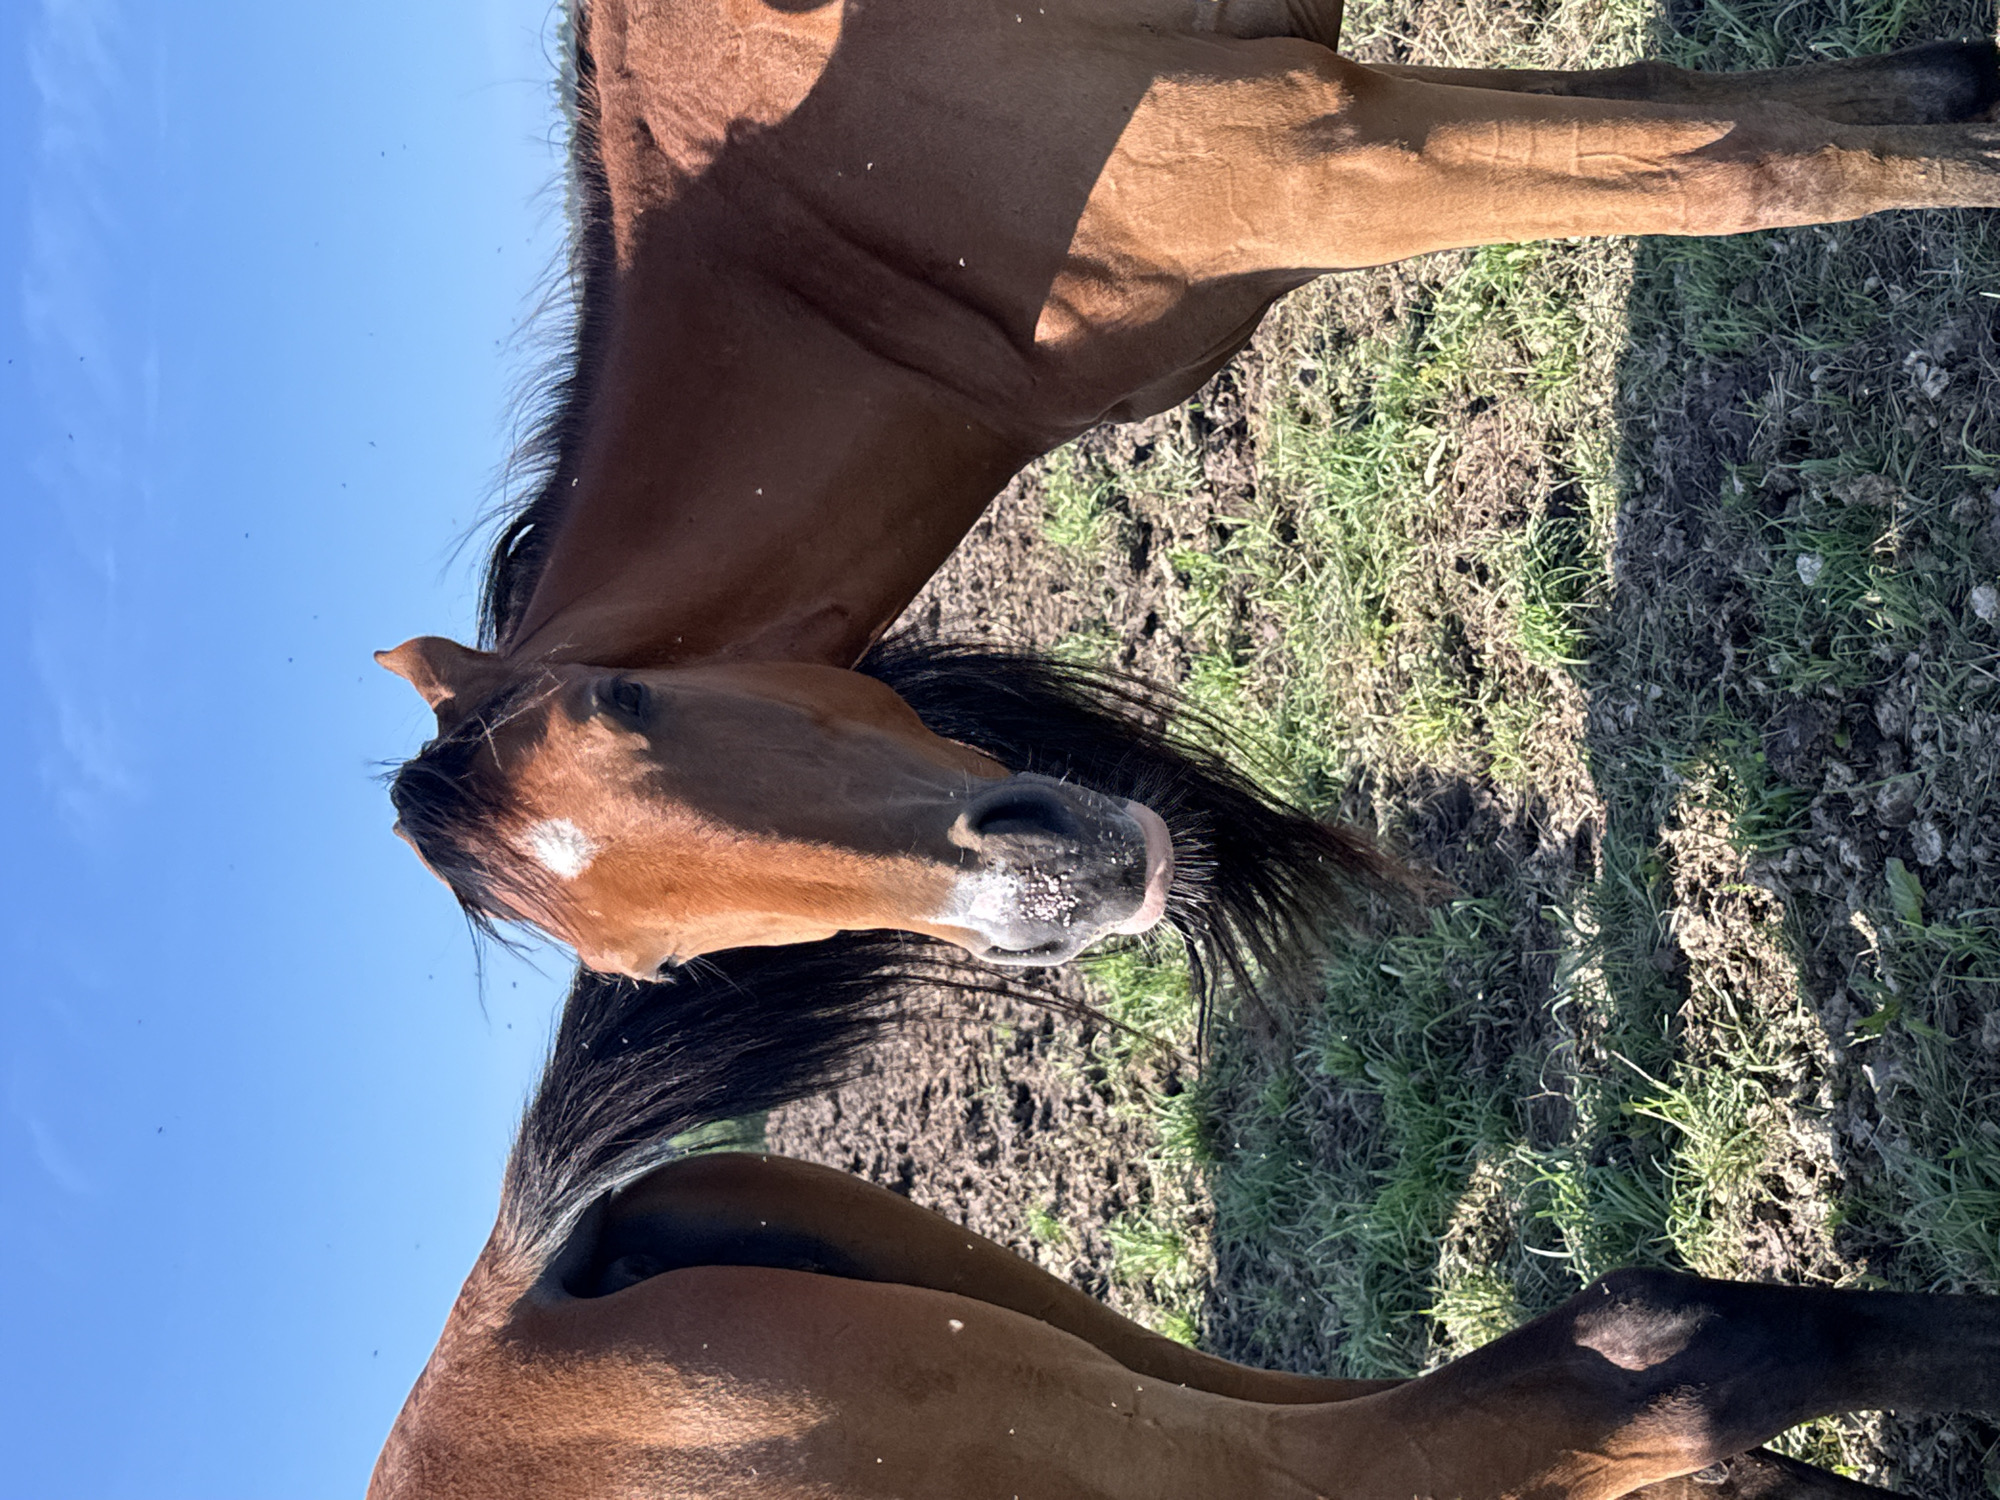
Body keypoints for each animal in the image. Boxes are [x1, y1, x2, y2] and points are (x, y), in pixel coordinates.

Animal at [378, 0, 2000, 998]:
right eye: (657, 968)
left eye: (626, 703)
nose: (1067, 897)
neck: (835, 252)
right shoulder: (1355, 141)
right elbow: (1718, 117)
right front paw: (1956, 83)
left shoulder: (1324, 155)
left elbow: (1755, 170)